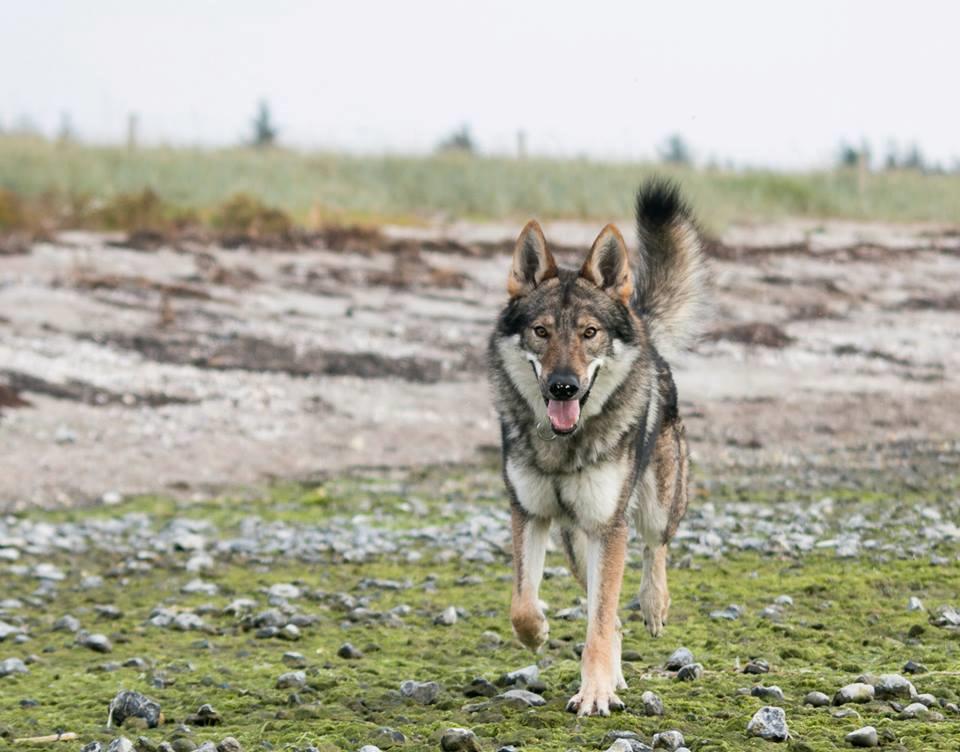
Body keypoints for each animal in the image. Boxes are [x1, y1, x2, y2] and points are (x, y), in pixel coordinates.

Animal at [492, 178, 708, 716]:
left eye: (589, 333)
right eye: (541, 331)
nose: (563, 387)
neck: (563, 446)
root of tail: (641, 324)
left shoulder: (609, 526)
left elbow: (600, 621)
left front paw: (593, 693)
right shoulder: (529, 514)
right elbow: (523, 602)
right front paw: (539, 632)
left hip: (652, 506)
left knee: (655, 549)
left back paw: (653, 606)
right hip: (575, 542)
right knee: (604, 609)